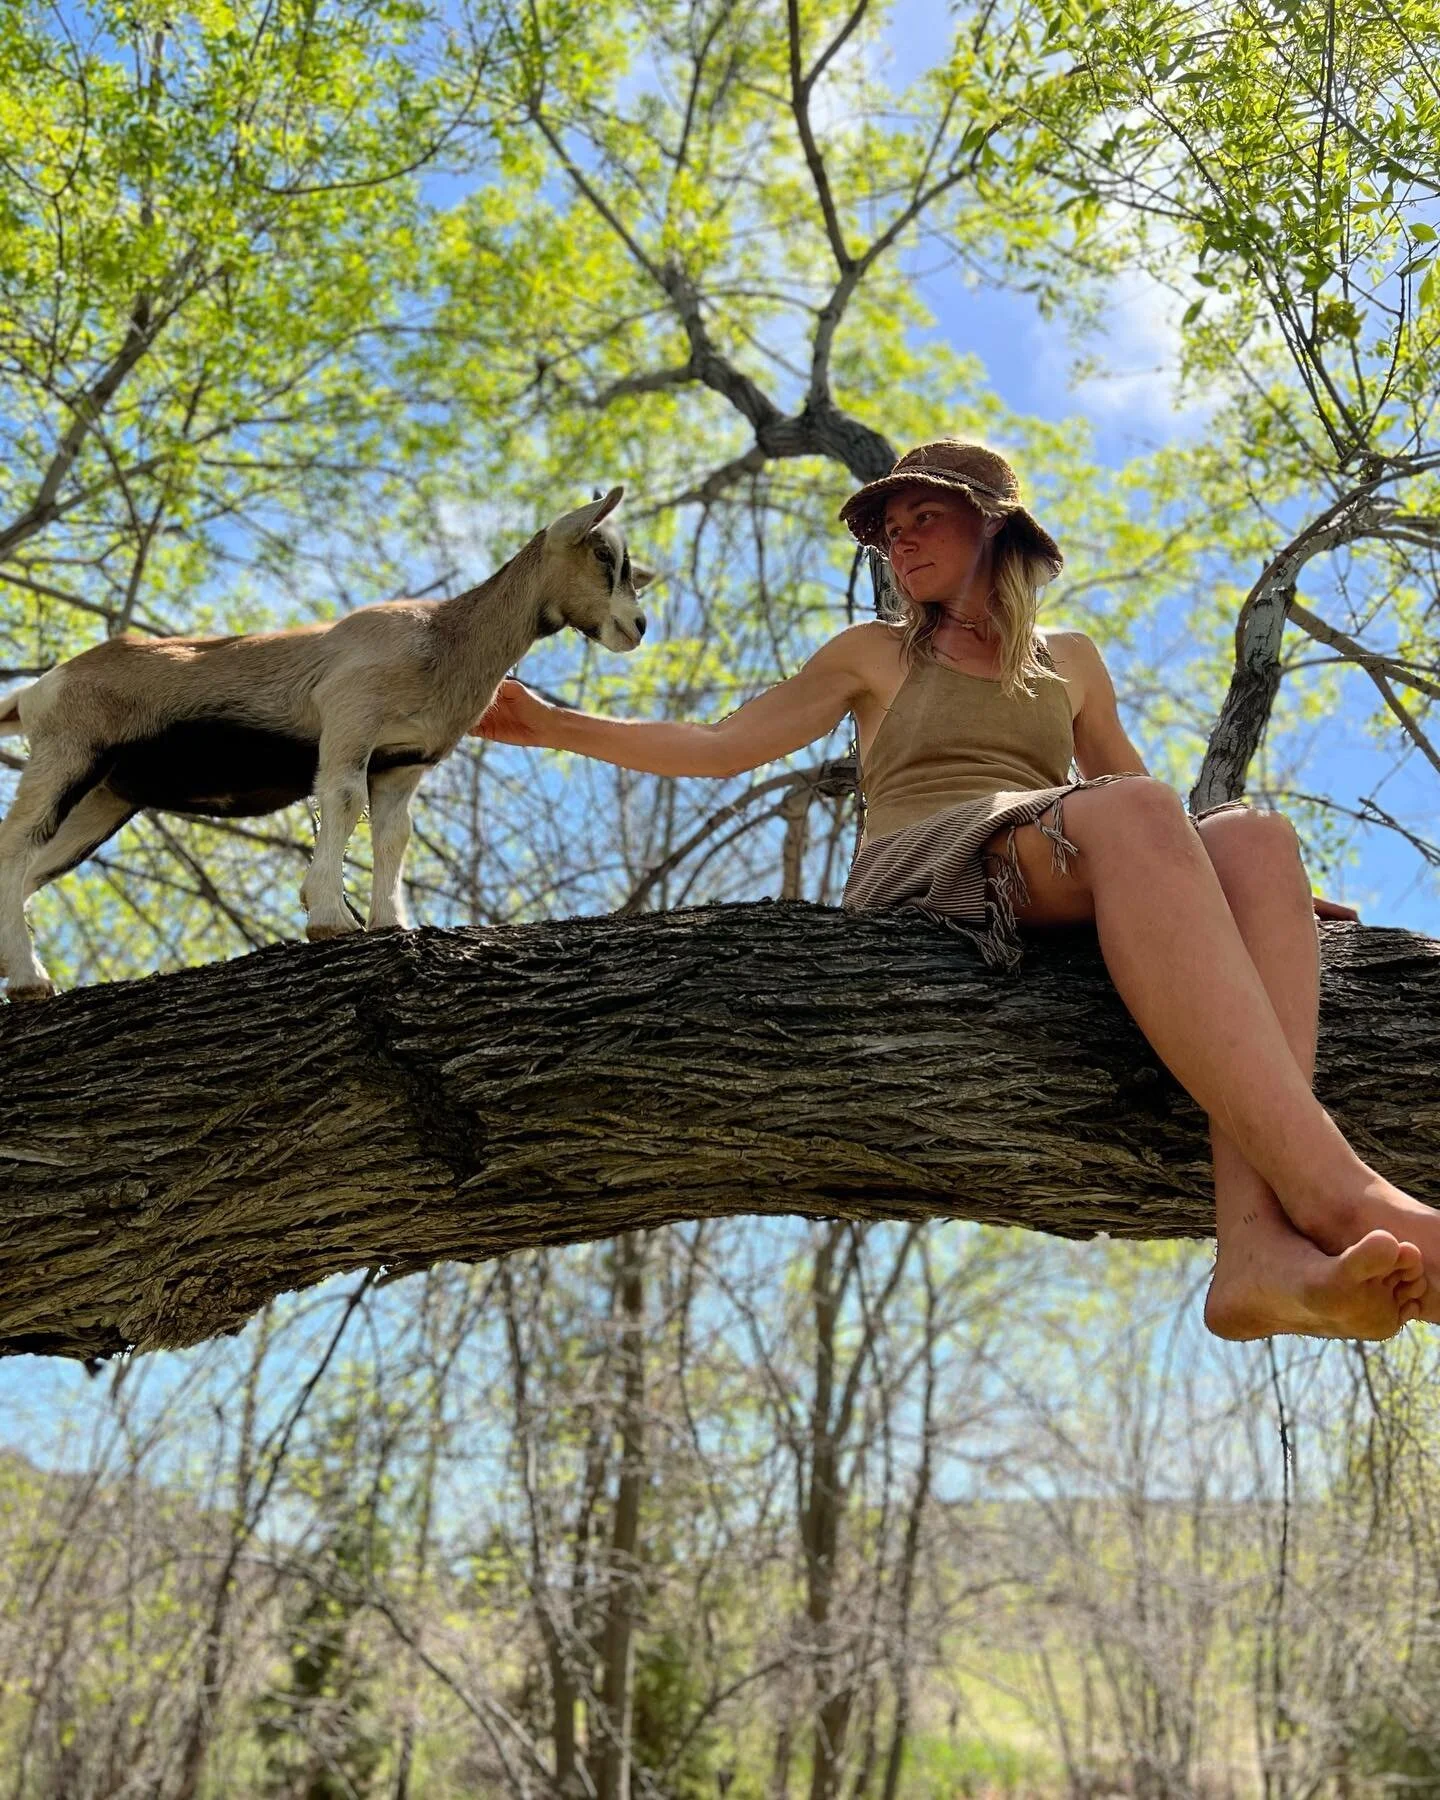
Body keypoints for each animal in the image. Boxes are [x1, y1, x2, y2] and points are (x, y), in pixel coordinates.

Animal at [0, 482, 651, 1000]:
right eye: (601, 552)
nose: (638, 626)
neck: (443, 638)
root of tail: (39, 690)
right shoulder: (348, 720)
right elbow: (342, 801)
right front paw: (330, 919)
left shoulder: (401, 765)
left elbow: (394, 834)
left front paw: (389, 923)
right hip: (67, 757)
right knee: (14, 846)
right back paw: (32, 982)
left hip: (102, 800)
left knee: (31, 872)